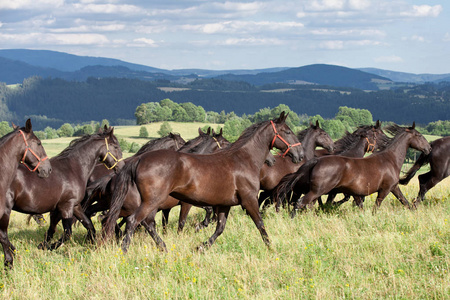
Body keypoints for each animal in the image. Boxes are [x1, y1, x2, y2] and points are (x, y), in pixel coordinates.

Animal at [7, 125, 123, 254]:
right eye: (116, 146)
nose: (122, 166)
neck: (74, 168)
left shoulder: (74, 206)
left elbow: (88, 225)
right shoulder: (66, 206)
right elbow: (67, 233)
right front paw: (48, 246)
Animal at [102, 112, 304, 253]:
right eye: (288, 131)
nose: (300, 155)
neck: (243, 160)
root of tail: (139, 160)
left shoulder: (224, 204)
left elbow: (219, 228)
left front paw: (201, 246)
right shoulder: (249, 200)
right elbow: (260, 224)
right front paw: (271, 247)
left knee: (144, 223)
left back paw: (164, 248)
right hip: (151, 201)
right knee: (133, 221)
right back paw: (124, 251)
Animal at [274, 122, 432, 216]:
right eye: (419, 135)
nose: (429, 148)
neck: (390, 159)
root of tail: (315, 160)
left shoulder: (388, 188)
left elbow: (404, 201)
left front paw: (414, 209)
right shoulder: (385, 189)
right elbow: (376, 206)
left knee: (301, 204)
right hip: (316, 191)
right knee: (299, 203)